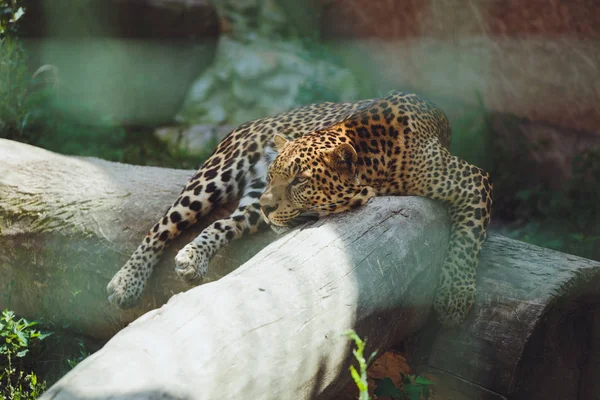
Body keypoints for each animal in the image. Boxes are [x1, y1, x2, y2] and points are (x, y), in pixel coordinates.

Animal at [106, 92, 492, 326]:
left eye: (299, 181)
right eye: (275, 175)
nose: (268, 204)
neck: (378, 162)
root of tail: (260, 119)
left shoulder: (474, 179)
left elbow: (468, 238)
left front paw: (454, 298)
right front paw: (455, 300)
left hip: (247, 205)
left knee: (225, 223)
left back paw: (193, 257)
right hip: (218, 173)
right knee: (162, 225)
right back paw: (126, 281)